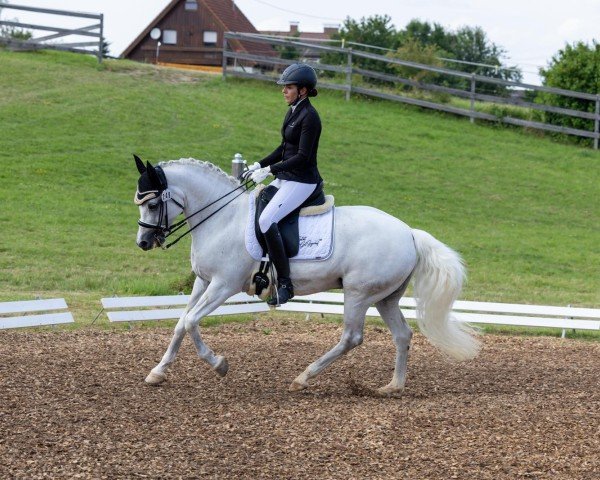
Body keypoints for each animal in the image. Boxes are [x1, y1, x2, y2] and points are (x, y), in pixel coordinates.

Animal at [135, 158, 478, 394]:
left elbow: (192, 321)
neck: (222, 219)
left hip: (358, 293)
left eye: (152, 204)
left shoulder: (223, 285)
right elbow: (181, 322)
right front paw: (158, 372)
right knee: (402, 335)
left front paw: (219, 365)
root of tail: (409, 232)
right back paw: (393, 386)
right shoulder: (203, 281)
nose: (144, 243)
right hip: (386, 298)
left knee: (351, 337)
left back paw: (303, 378)